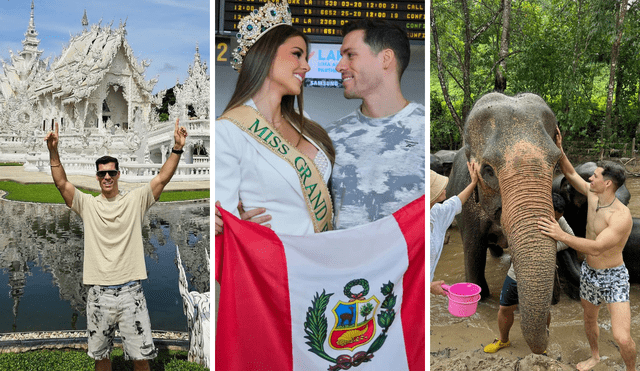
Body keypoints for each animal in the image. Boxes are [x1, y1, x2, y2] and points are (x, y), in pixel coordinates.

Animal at [448, 92, 564, 354]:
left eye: (556, 165)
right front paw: (481, 298)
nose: (550, 330)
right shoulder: (468, 208)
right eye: (487, 170)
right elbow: (473, 250)